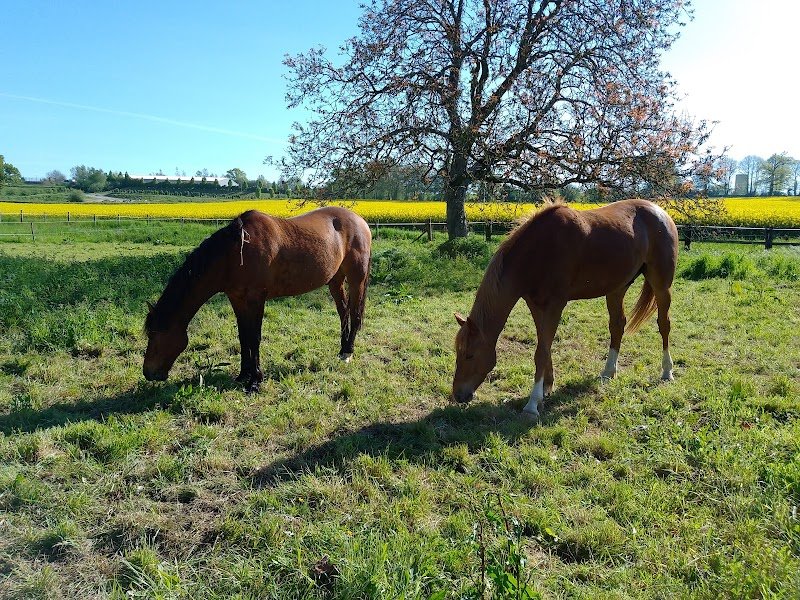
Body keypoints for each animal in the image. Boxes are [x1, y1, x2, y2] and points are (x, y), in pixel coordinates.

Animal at [143, 207, 372, 391]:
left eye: (156, 335)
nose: (148, 373)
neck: (234, 254)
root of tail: (360, 221)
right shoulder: (237, 299)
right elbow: (243, 336)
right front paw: (243, 374)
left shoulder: (256, 299)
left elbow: (254, 337)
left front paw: (255, 380)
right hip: (335, 280)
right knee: (343, 312)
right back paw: (342, 349)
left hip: (356, 278)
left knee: (354, 313)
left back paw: (348, 351)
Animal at [452, 199, 678, 418]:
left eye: (470, 355)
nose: (458, 395)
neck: (537, 251)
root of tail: (661, 213)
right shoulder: (536, 305)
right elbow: (544, 346)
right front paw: (546, 387)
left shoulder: (555, 305)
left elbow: (541, 352)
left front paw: (532, 404)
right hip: (617, 288)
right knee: (617, 325)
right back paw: (608, 372)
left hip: (661, 286)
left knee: (664, 324)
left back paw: (667, 371)